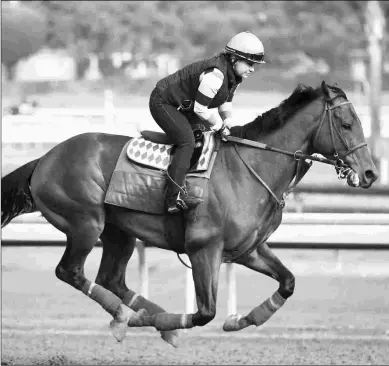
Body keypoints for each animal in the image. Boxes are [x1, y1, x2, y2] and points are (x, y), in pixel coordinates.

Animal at [1, 81, 378, 348]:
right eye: (347, 124)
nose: (371, 173)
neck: (249, 168)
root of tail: (45, 159)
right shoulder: (204, 249)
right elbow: (204, 312)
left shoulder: (248, 249)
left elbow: (287, 282)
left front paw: (240, 321)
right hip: (85, 223)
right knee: (71, 272)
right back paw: (127, 318)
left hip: (119, 232)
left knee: (111, 279)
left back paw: (150, 321)